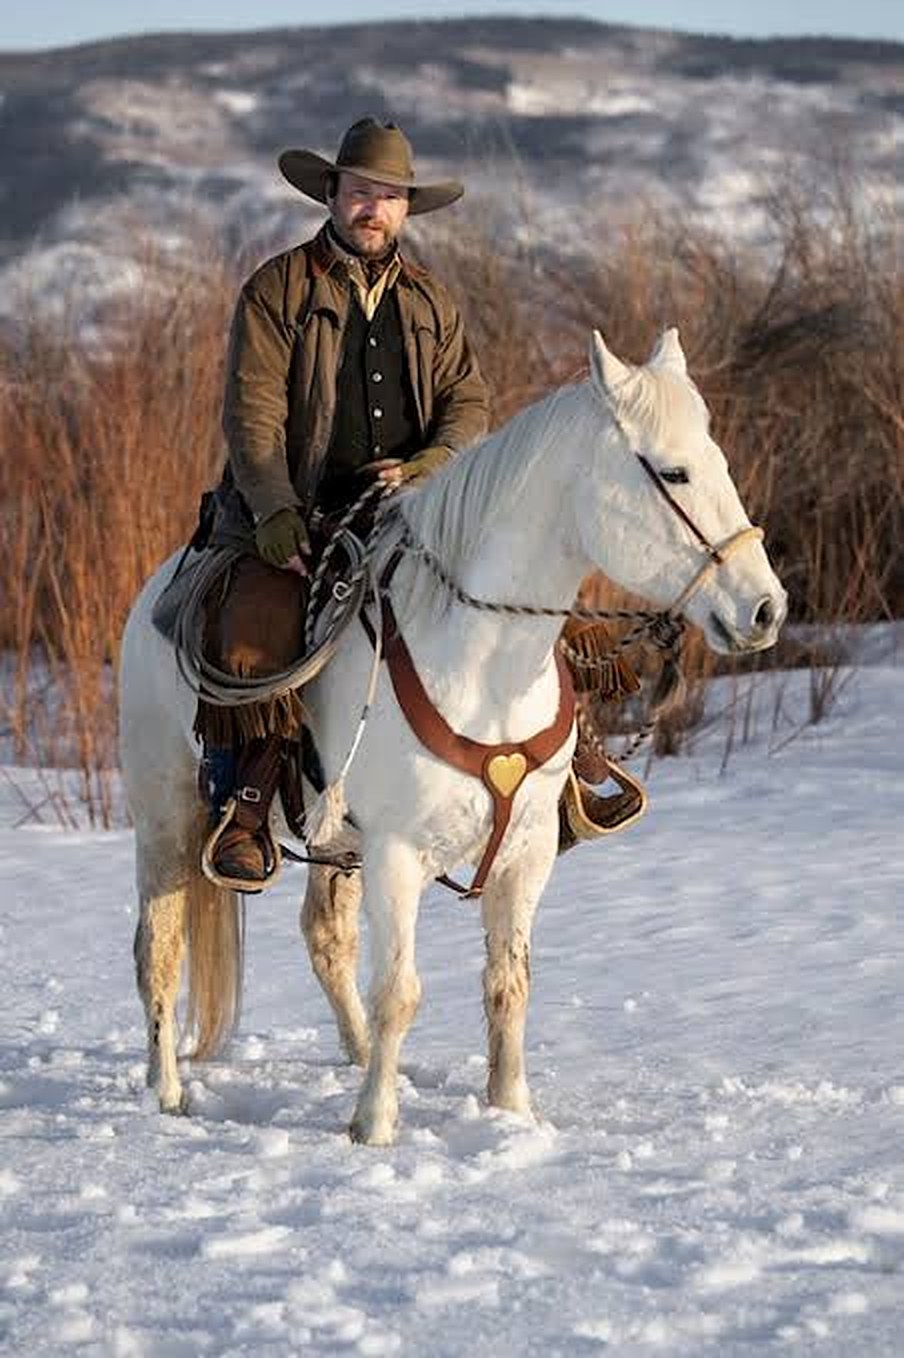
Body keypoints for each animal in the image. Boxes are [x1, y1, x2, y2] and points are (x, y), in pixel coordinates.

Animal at [119, 328, 786, 1144]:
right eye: (673, 472)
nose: (765, 609)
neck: (482, 662)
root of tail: (158, 594)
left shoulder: (527, 852)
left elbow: (509, 983)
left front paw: (509, 1111)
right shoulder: (397, 854)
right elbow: (400, 989)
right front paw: (376, 1125)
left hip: (335, 849)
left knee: (326, 938)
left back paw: (360, 1056)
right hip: (168, 815)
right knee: (160, 947)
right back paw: (169, 1092)